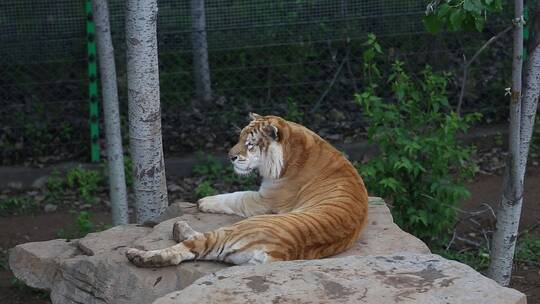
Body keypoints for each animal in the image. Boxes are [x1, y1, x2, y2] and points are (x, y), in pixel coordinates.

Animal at [126, 113, 370, 266]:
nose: (230, 156)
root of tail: (276, 254)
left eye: (250, 144)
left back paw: (138, 254)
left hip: (239, 227)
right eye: (239, 138)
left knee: (186, 249)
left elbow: (236, 196)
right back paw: (178, 227)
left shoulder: (264, 200)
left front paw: (203, 201)